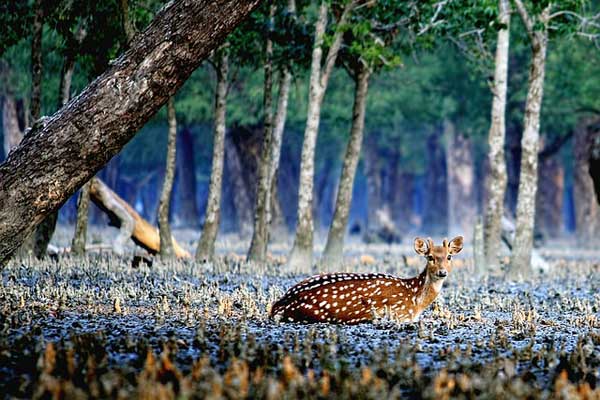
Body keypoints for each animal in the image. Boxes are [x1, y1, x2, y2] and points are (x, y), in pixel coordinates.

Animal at [272, 236, 464, 324]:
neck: (415, 299)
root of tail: (277, 306)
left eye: (449, 257)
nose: (442, 272)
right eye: (430, 257)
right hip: (315, 314)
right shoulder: (399, 313)